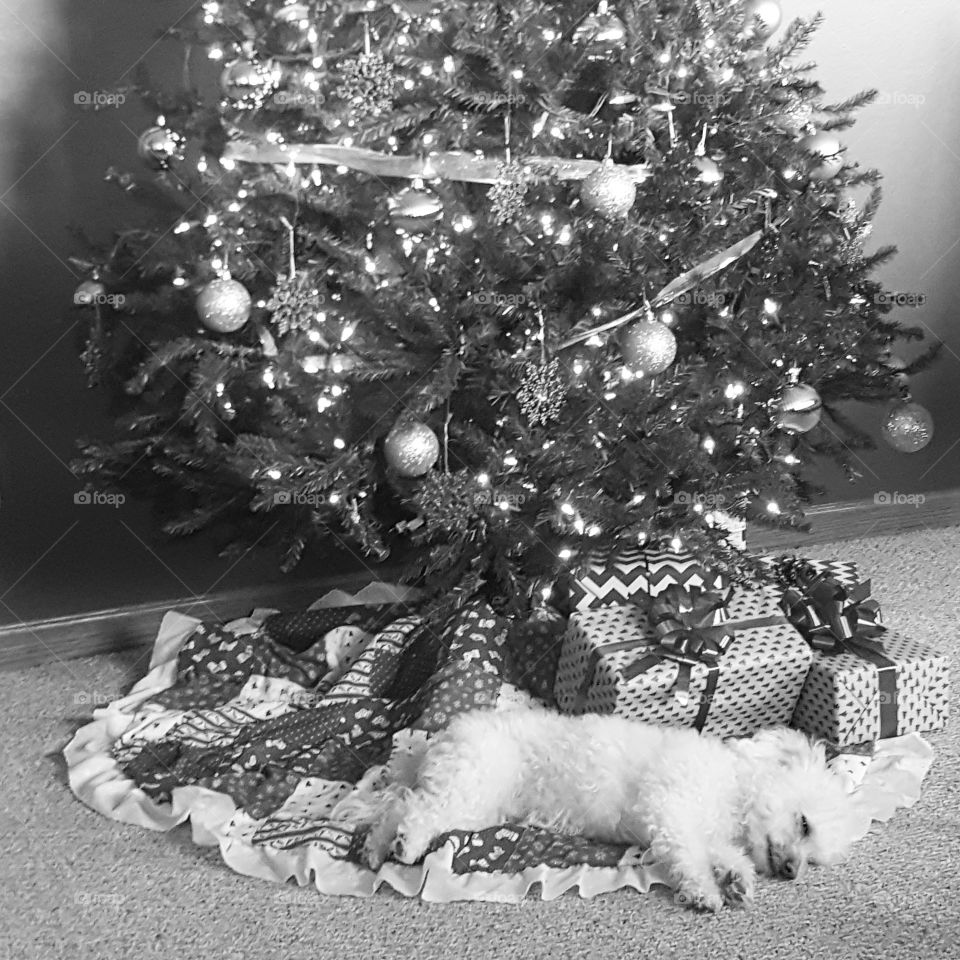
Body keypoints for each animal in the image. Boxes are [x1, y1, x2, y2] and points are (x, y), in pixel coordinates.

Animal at [356, 708, 860, 912]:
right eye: (804, 823)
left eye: (814, 859)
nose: (792, 871)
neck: (734, 789)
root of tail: (446, 735)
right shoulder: (673, 810)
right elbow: (690, 857)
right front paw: (704, 892)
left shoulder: (707, 830)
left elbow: (722, 855)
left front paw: (737, 879)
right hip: (474, 785)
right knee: (418, 812)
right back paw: (405, 845)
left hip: (472, 800)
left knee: (400, 805)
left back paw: (377, 849)